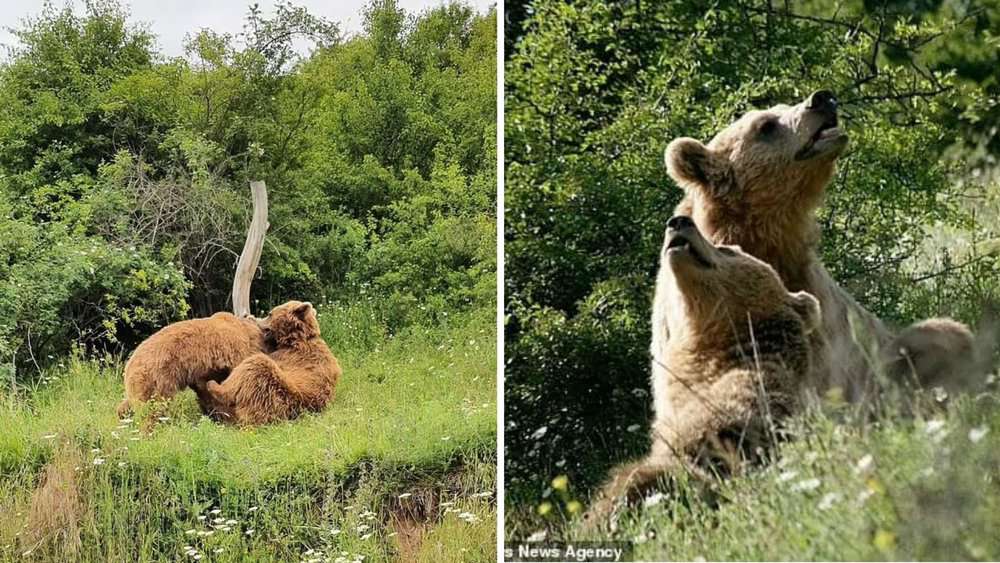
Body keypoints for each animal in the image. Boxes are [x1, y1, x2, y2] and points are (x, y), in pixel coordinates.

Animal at [116, 312, 268, 418]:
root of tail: (129, 364)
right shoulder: (233, 351)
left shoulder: (205, 371)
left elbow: (205, 389)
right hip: (158, 377)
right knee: (153, 407)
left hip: (142, 383)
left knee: (130, 403)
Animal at [193, 300, 342, 425]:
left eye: (270, 313)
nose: (254, 317)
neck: (295, 340)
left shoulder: (285, 356)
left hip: (270, 387)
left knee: (251, 367)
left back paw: (211, 385)